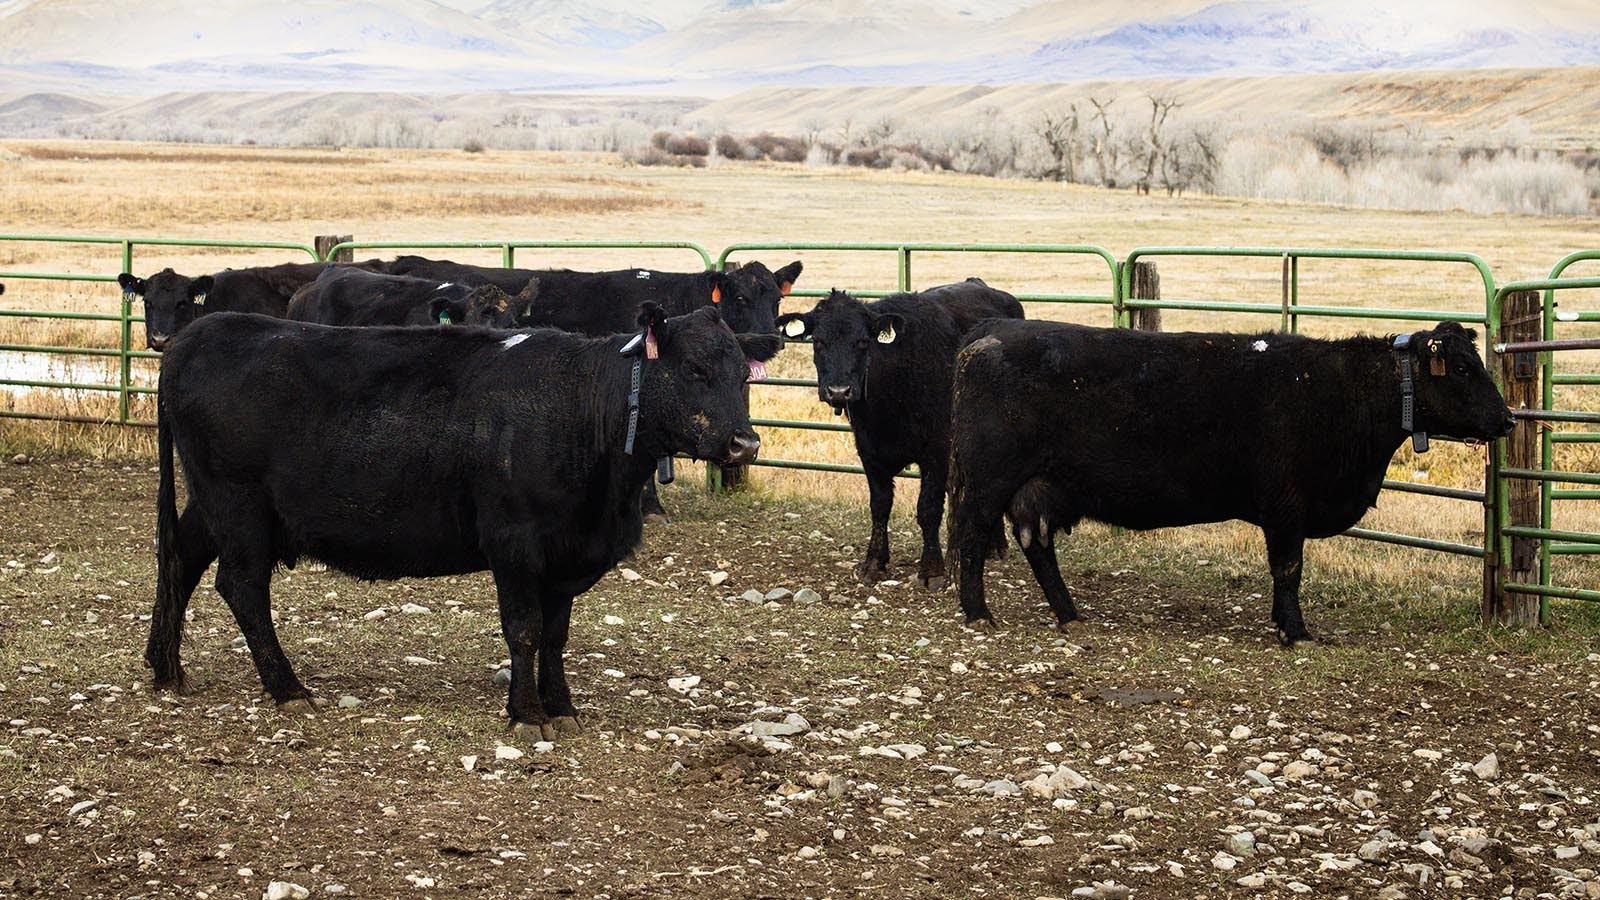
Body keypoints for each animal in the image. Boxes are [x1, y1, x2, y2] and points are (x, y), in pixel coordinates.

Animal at [146, 304, 780, 738]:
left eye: (742, 377)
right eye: (695, 369)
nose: (745, 444)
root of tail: (197, 334)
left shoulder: (567, 555)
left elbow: (556, 635)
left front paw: (562, 707)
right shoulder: (515, 542)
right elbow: (524, 629)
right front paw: (527, 714)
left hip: (213, 503)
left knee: (181, 556)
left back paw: (164, 665)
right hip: (239, 506)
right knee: (242, 587)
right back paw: (287, 688)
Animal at [774, 279, 1024, 588]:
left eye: (862, 341)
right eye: (818, 342)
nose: (838, 391)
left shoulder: (937, 451)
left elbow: (928, 509)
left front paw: (932, 569)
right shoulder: (869, 450)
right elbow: (880, 507)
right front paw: (874, 562)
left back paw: (996, 545)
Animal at [947, 320, 1515, 645]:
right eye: (1462, 369)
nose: (1508, 419)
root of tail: (987, 337)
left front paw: (1282, 622)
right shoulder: (1286, 506)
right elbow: (1288, 568)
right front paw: (1296, 631)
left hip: (1039, 489)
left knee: (1038, 546)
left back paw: (1069, 614)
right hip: (987, 483)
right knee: (972, 538)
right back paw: (978, 614)